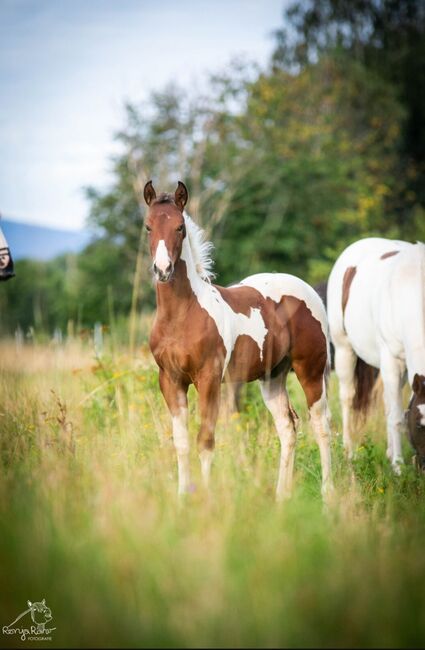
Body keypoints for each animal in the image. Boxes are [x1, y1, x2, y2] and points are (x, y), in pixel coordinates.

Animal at [144, 180, 332, 498]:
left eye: (180, 227)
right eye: (148, 227)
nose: (163, 270)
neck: (183, 315)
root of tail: (309, 291)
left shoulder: (208, 378)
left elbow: (205, 441)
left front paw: (205, 499)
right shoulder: (170, 380)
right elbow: (181, 443)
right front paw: (183, 498)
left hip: (311, 370)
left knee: (321, 424)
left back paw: (329, 495)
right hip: (272, 377)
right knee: (287, 427)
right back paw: (281, 497)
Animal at [328, 235, 425, 468]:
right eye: (419, 425)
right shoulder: (392, 360)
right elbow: (397, 417)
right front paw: (398, 467)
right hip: (344, 350)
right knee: (348, 397)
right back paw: (349, 451)